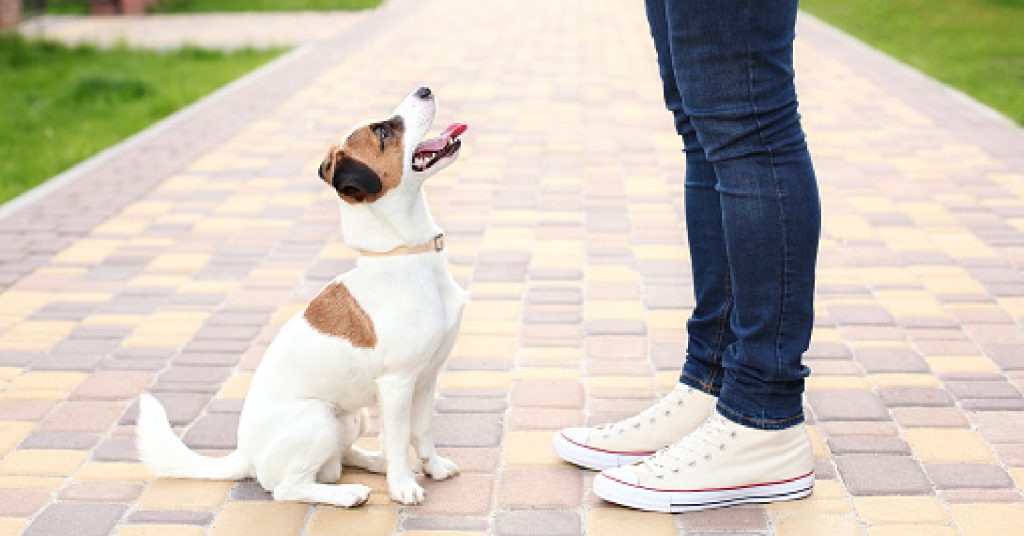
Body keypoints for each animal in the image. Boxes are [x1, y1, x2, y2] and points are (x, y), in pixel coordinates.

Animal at [136, 87, 468, 508]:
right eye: (383, 132)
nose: (424, 89)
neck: (405, 256)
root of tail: (245, 455)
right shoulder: (397, 385)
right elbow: (398, 439)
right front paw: (404, 486)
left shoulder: (427, 378)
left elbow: (421, 432)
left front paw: (433, 468)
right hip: (318, 418)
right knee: (288, 488)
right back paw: (349, 493)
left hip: (351, 416)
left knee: (340, 459)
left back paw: (371, 463)